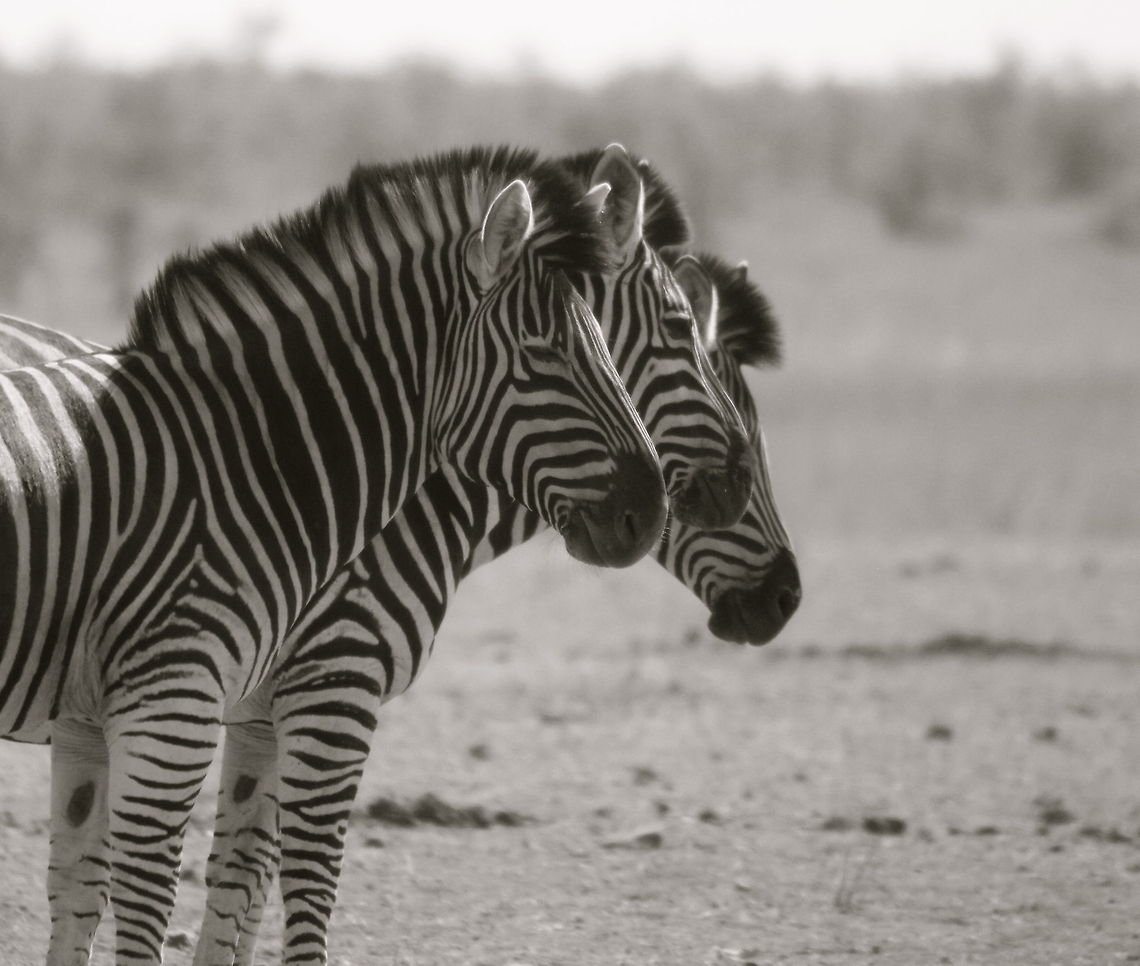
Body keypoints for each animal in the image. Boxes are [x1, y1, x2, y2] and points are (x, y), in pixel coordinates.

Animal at [0, 145, 671, 966]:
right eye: (544, 354)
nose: (650, 513)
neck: (243, 461)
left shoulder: (91, 714)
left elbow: (83, 891)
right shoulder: (186, 700)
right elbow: (168, 897)